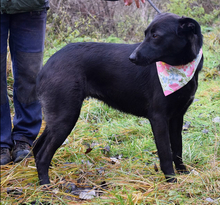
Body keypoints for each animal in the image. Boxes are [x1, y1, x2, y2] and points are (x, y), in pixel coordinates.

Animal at [33, 13, 204, 185]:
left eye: (155, 36)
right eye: (146, 34)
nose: (132, 58)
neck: (179, 68)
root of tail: (46, 66)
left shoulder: (177, 116)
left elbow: (177, 148)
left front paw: (183, 172)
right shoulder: (158, 118)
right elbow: (165, 153)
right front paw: (171, 180)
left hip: (57, 117)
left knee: (37, 147)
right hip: (66, 116)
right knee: (42, 154)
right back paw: (46, 184)